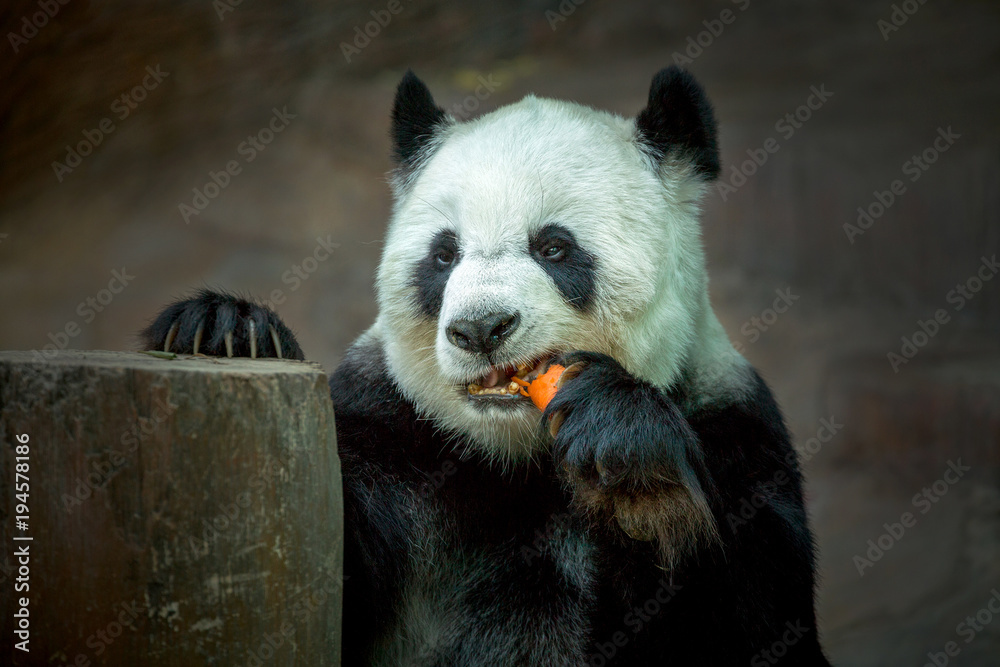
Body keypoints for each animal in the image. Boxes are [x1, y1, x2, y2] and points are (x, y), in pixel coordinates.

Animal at [143, 66, 832, 666]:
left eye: (554, 247)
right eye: (444, 255)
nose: (480, 328)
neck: (515, 456)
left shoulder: (734, 427)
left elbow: (760, 624)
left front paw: (632, 462)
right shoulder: (388, 428)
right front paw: (225, 328)